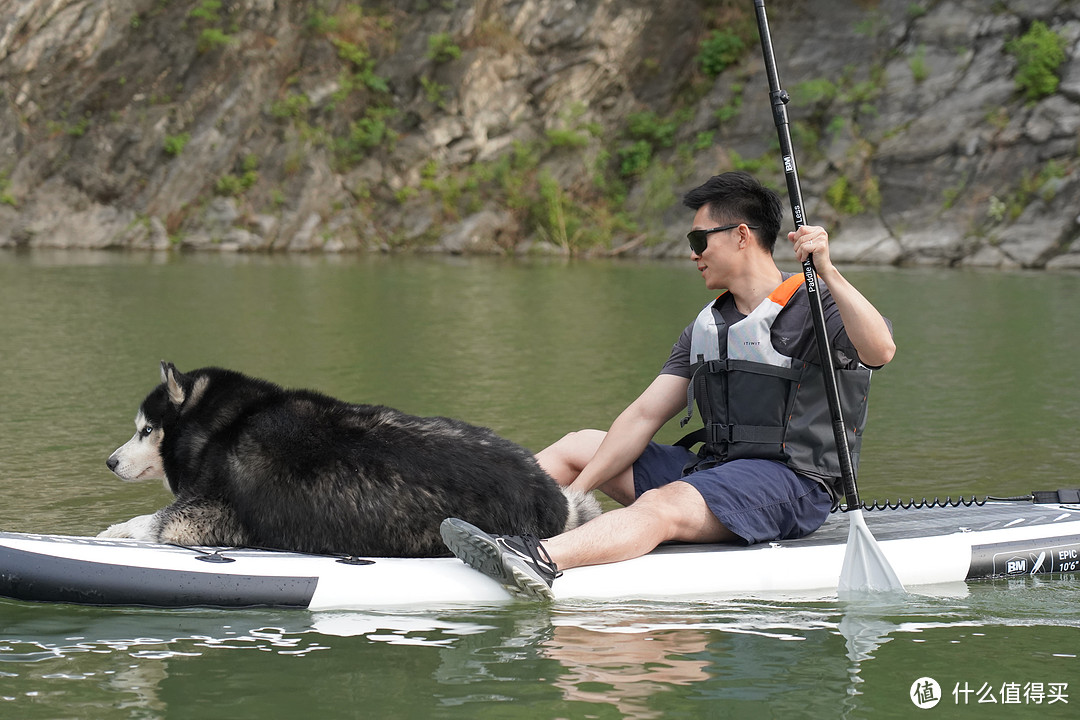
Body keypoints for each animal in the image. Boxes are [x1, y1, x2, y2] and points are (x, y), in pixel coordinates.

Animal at [100, 362, 600, 561]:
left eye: (146, 430)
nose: (109, 461)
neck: (223, 424)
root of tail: (549, 496)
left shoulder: (202, 519)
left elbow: (148, 522)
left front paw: (113, 531)